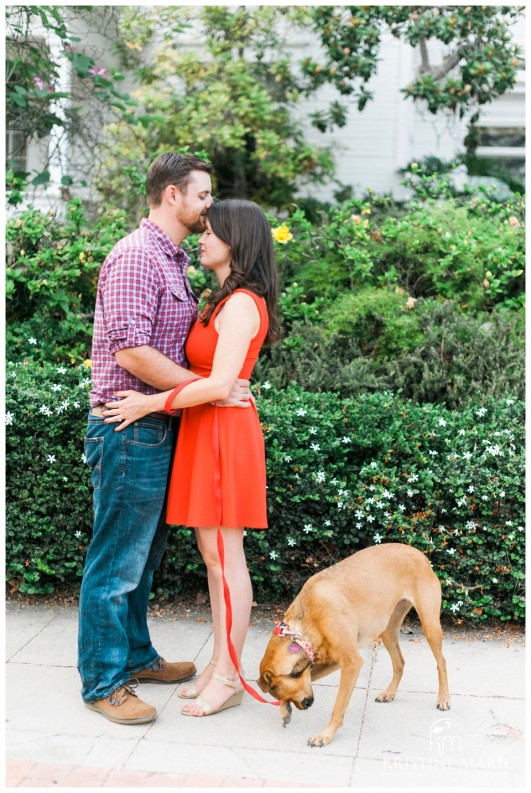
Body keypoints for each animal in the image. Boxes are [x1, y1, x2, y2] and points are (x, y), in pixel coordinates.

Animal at [260, 540, 450, 744]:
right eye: (280, 693)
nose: (306, 705)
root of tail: (418, 553)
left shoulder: (351, 664)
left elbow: (338, 708)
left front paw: (325, 735)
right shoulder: (330, 662)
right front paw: (284, 709)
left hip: (430, 627)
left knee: (441, 661)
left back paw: (444, 698)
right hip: (387, 631)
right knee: (400, 663)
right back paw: (389, 693)